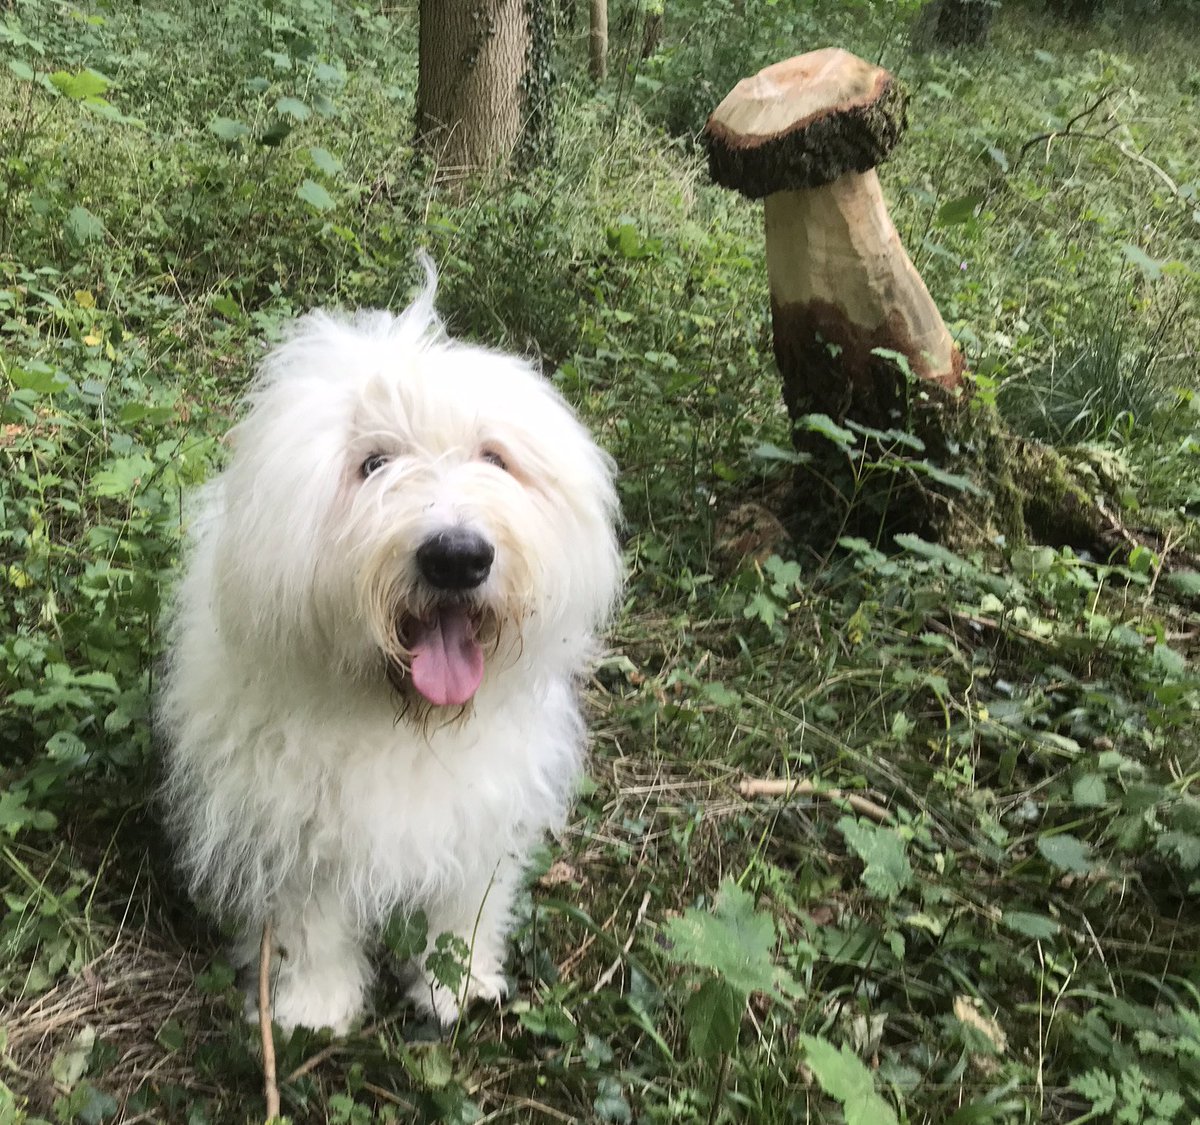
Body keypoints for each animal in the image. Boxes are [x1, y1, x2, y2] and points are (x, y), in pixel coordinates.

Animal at [157, 259, 619, 1031]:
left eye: (494, 457)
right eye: (373, 463)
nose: (457, 556)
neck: (404, 718)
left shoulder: (478, 815)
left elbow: (462, 912)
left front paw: (455, 987)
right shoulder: (295, 821)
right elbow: (311, 920)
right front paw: (315, 1005)